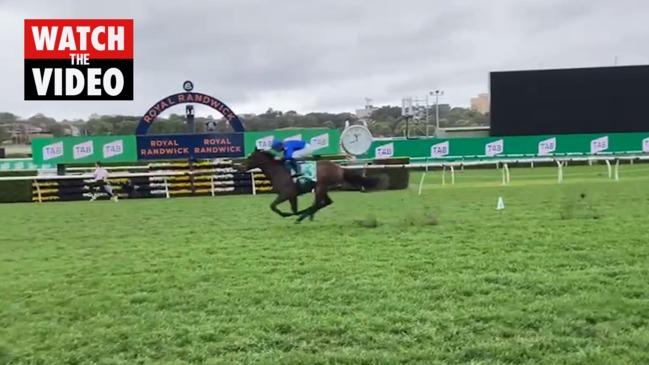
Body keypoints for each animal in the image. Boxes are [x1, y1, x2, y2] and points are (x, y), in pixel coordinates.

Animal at [238, 149, 380, 223]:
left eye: (250, 157)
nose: (241, 167)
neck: (278, 171)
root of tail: (339, 168)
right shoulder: (292, 195)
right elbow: (291, 209)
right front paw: (293, 214)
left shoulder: (287, 194)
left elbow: (273, 206)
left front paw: (290, 215)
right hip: (323, 188)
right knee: (325, 203)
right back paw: (306, 215)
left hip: (320, 187)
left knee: (318, 204)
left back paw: (304, 215)